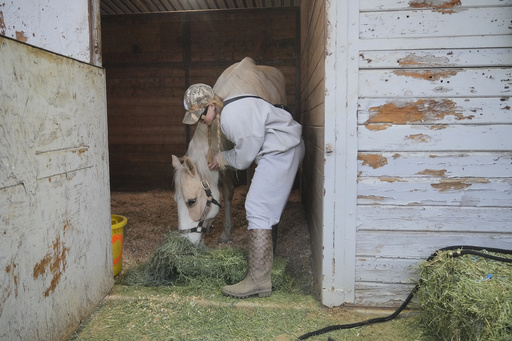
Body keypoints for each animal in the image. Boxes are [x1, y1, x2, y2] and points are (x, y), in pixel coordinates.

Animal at [170, 58, 286, 244]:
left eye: (191, 201)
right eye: (175, 200)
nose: (184, 242)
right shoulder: (223, 165)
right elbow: (227, 192)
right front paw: (226, 232)